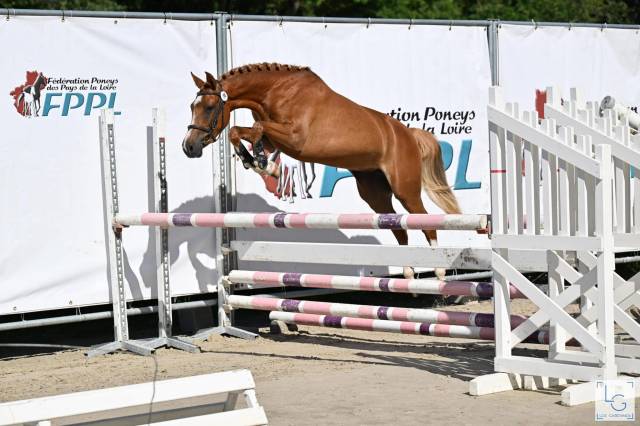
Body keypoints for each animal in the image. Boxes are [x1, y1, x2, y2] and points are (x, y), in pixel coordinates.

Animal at [182, 63, 461, 279]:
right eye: (192, 106)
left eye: (209, 107)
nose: (189, 146)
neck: (276, 91)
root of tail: (409, 134)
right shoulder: (276, 138)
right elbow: (241, 131)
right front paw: (260, 163)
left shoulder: (296, 139)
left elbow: (253, 128)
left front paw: (264, 165)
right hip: (374, 194)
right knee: (399, 228)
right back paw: (407, 271)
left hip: (405, 189)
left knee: (425, 222)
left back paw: (438, 270)